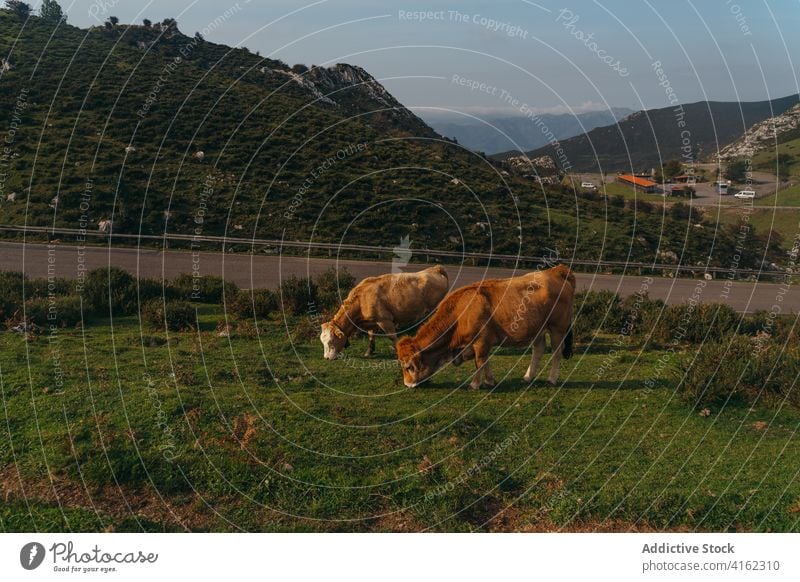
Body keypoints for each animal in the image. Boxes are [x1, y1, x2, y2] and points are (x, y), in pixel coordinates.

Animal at [320, 266, 450, 360]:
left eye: (331, 342)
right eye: (322, 341)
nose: (326, 358)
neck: (361, 300)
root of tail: (435, 269)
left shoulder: (384, 320)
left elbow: (392, 337)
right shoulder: (372, 322)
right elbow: (371, 336)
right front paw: (369, 351)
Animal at [396, 266, 576, 390]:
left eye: (409, 367)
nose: (407, 384)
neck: (460, 312)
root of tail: (555, 271)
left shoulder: (481, 340)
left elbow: (480, 361)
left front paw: (475, 384)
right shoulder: (483, 342)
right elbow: (485, 361)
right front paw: (490, 381)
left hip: (557, 328)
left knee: (557, 352)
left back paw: (552, 379)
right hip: (538, 328)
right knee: (538, 350)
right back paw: (527, 377)